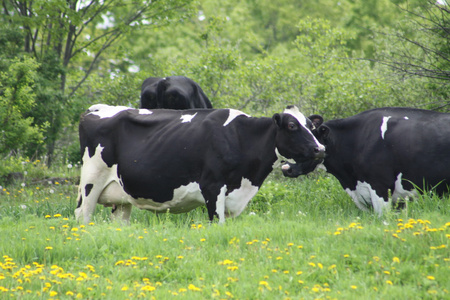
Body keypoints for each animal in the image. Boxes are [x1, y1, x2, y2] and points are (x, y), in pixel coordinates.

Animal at [75, 103, 326, 223]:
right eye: (292, 126)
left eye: (311, 126)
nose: (320, 149)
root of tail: (98, 108)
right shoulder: (213, 188)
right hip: (90, 182)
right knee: (82, 216)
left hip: (121, 197)